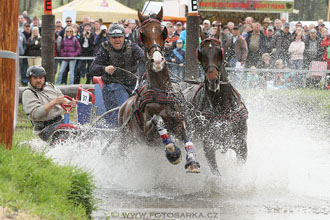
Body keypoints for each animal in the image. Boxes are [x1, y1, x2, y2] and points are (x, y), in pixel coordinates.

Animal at [119, 7, 201, 174]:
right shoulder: (147, 133)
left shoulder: (180, 121)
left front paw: (192, 161)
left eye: (163, 32)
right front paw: (173, 153)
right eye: (142, 34)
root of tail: (123, 107)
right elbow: (158, 120)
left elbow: (186, 135)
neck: (161, 92)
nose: (157, 60)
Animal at [183, 29, 248, 175]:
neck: (223, 107)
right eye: (201, 53)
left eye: (220, 51)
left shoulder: (241, 145)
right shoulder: (208, 147)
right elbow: (217, 174)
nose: (212, 81)